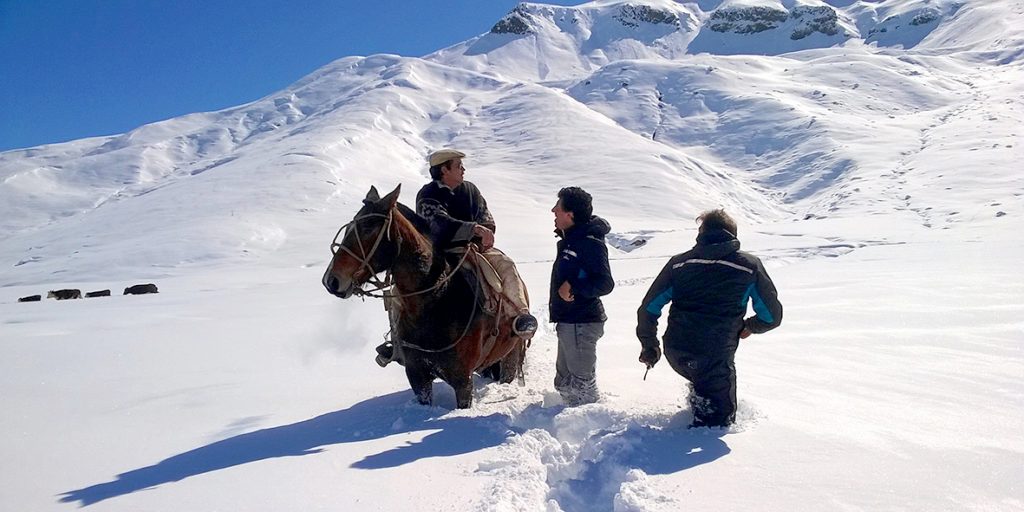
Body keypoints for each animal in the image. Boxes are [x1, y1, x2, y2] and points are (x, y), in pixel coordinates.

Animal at [321, 184, 532, 407]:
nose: (332, 280)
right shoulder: (417, 376)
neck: (435, 301)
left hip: (510, 356)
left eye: (369, 227)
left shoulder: (462, 380)